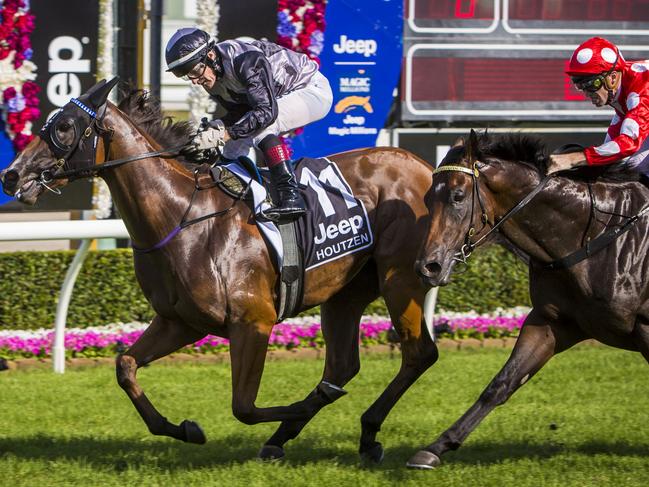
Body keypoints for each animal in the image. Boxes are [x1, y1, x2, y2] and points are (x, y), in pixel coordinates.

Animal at [1, 79, 436, 462]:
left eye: (64, 126)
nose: (12, 174)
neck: (183, 216)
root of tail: (425, 167)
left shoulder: (253, 321)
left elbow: (243, 406)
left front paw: (300, 406)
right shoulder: (180, 321)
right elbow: (125, 367)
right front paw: (185, 429)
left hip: (401, 278)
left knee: (419, 354)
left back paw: (362, 429)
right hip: (346, 292)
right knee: (344, 365)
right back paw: (304, 434)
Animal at [412, 129, 648, 468]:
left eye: (458, 196)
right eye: (429, 198)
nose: (428, 267)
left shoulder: (645, 329)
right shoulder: (551, 322)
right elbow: (502, 383)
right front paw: (435, 447)